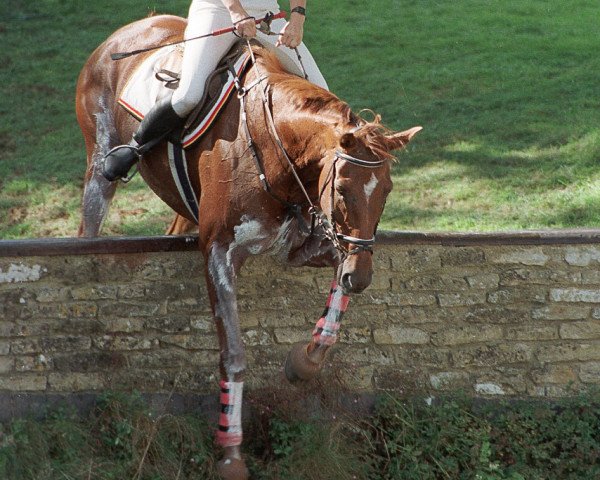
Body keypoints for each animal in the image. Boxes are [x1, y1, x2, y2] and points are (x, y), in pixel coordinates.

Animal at [76, 15, 422, 480]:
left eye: (386, 191)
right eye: (343, 190)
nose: (364, 277)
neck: (278, 153)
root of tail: (125, 33)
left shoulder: (313, 246)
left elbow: (335, 298)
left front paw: (304, 364)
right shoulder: (219, 254)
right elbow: (234, 354)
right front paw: (231, 455)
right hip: (99, 165)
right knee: (90, 224)